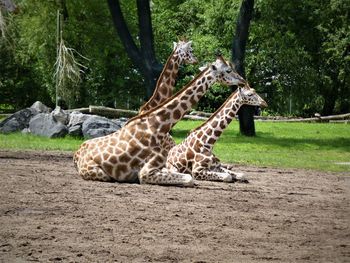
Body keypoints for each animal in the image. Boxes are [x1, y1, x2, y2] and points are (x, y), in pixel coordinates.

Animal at [73, 55, 246, 188]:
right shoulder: (146, 173)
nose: (243, 81)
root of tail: (76, 154)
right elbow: (189, 178)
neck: (157, 127)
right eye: (228, 70)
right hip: (99, 173)